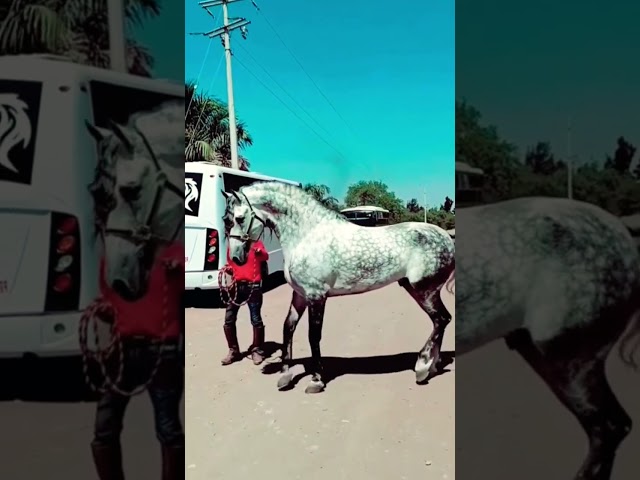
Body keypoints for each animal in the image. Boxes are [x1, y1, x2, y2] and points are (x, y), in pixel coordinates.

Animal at [222, 182, 455, 394]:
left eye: (239, 218)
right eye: (227, 219)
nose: (236, 258)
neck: (307, 234)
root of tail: (445, 238)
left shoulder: (316, 296)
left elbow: (313, 335)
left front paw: (316, 380)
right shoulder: (299, 295)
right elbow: (288, 328)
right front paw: (285, 376)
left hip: (424, 290)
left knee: (442, 319)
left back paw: (422, 367)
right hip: (418, 289)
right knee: (439, 321)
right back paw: (432, 367)